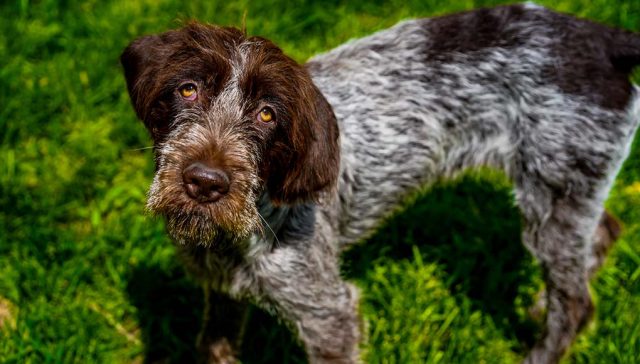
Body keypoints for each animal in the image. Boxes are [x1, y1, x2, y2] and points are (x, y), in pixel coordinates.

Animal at [121, 3, 640, 364]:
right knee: (601, 234)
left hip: (553, 193)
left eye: (268, 114)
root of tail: (603, 39)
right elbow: (214, 344)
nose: (205, 182)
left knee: (575, 303)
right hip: (564, 192)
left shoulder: (329, 316)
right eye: (188, 89)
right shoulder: (223, 293)